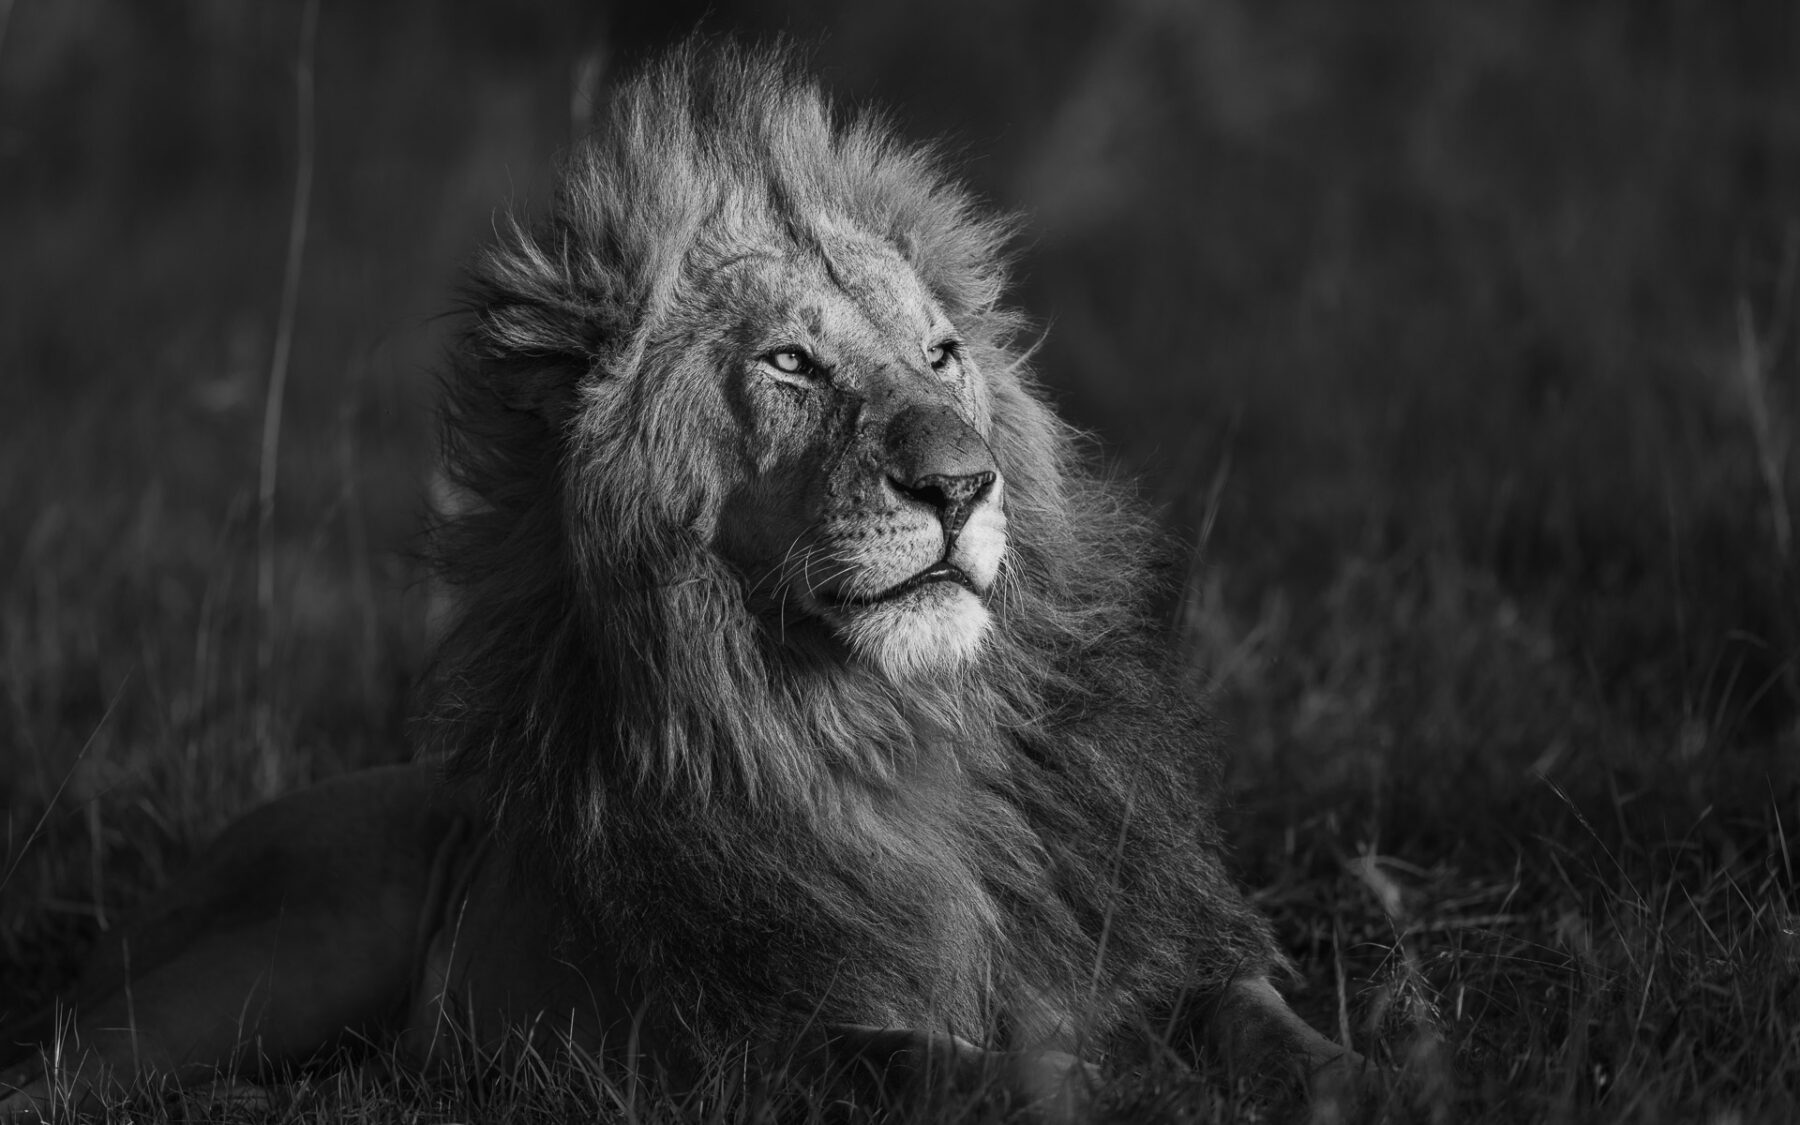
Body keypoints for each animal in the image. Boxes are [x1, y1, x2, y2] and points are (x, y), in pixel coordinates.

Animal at [0, 41, 1353, 1116]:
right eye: (793, 362)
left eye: (942, 356)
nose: (961, 485)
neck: (902, 729)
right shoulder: (751, 1042)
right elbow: (958, 1067)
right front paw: (1088, 1082)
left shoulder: (1158, 947)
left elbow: (1261, 1020)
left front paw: (1360, 1067)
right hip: (275, 952)